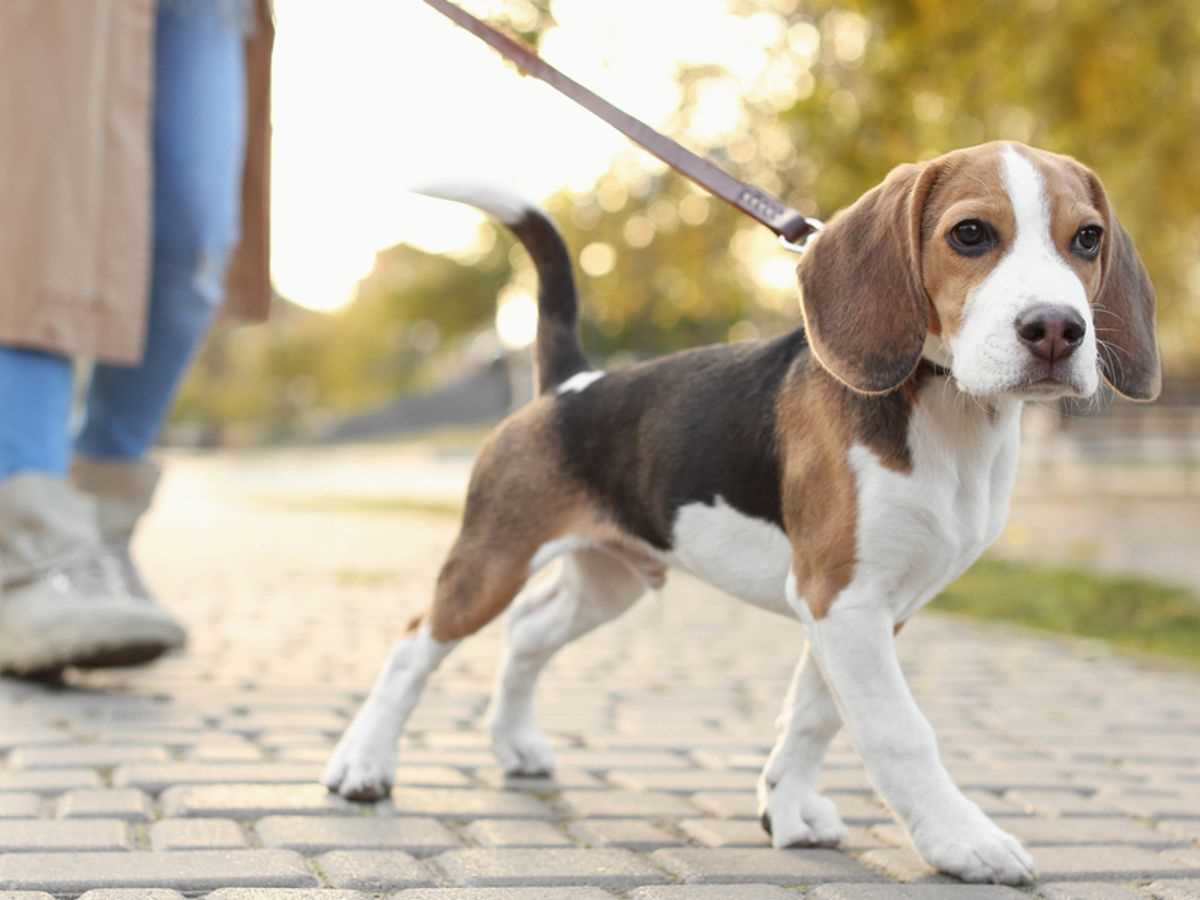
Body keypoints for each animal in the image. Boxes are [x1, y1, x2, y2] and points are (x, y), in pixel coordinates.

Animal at [326, 142, 1161, 888]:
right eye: (971, 234)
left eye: (1088, 238)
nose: (1056, 329)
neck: (948, 410)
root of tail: (571, 382)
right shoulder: (841, 596)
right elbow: (898, 732)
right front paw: (963, 843)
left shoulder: (866, 609)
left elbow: (815, 715)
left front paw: (786, 812)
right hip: (493, 556)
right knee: (415, 645)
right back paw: (363, 765)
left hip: (611, 578)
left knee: (529, 631)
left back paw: (515, 745)